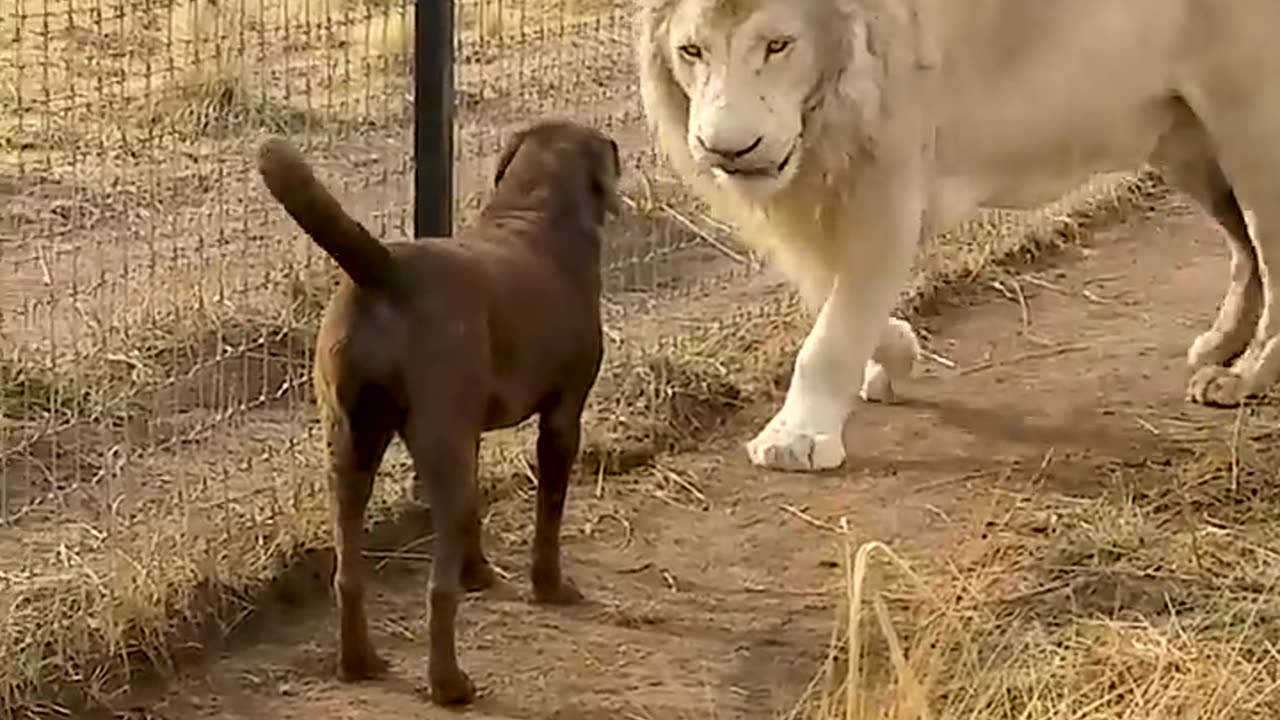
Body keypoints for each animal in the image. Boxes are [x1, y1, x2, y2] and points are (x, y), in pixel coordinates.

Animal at [254, 120, 619, 702]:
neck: (533, 210)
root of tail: (385, 271)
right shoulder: (563, 417)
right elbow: (550, 512)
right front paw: (550, 586)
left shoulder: (469, 432)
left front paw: (480, 574)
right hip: (433, 448)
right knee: (437, 591)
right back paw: (449, 684)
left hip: (351, 445)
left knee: (349, 572)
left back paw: (359, 662)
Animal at [640, 0, 1280, 471]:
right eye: (692, 51)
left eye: (779, 45)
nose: (727, 149)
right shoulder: (820, 197)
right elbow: (834, 297)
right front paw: (896, 355)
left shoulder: (888, 182)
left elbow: (833, 333)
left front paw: (796, 440)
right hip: (1186, 142)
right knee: (1244, 251)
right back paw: (1219, 345)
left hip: (1251, 123)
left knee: (1269, 256)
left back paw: (1244, 376)